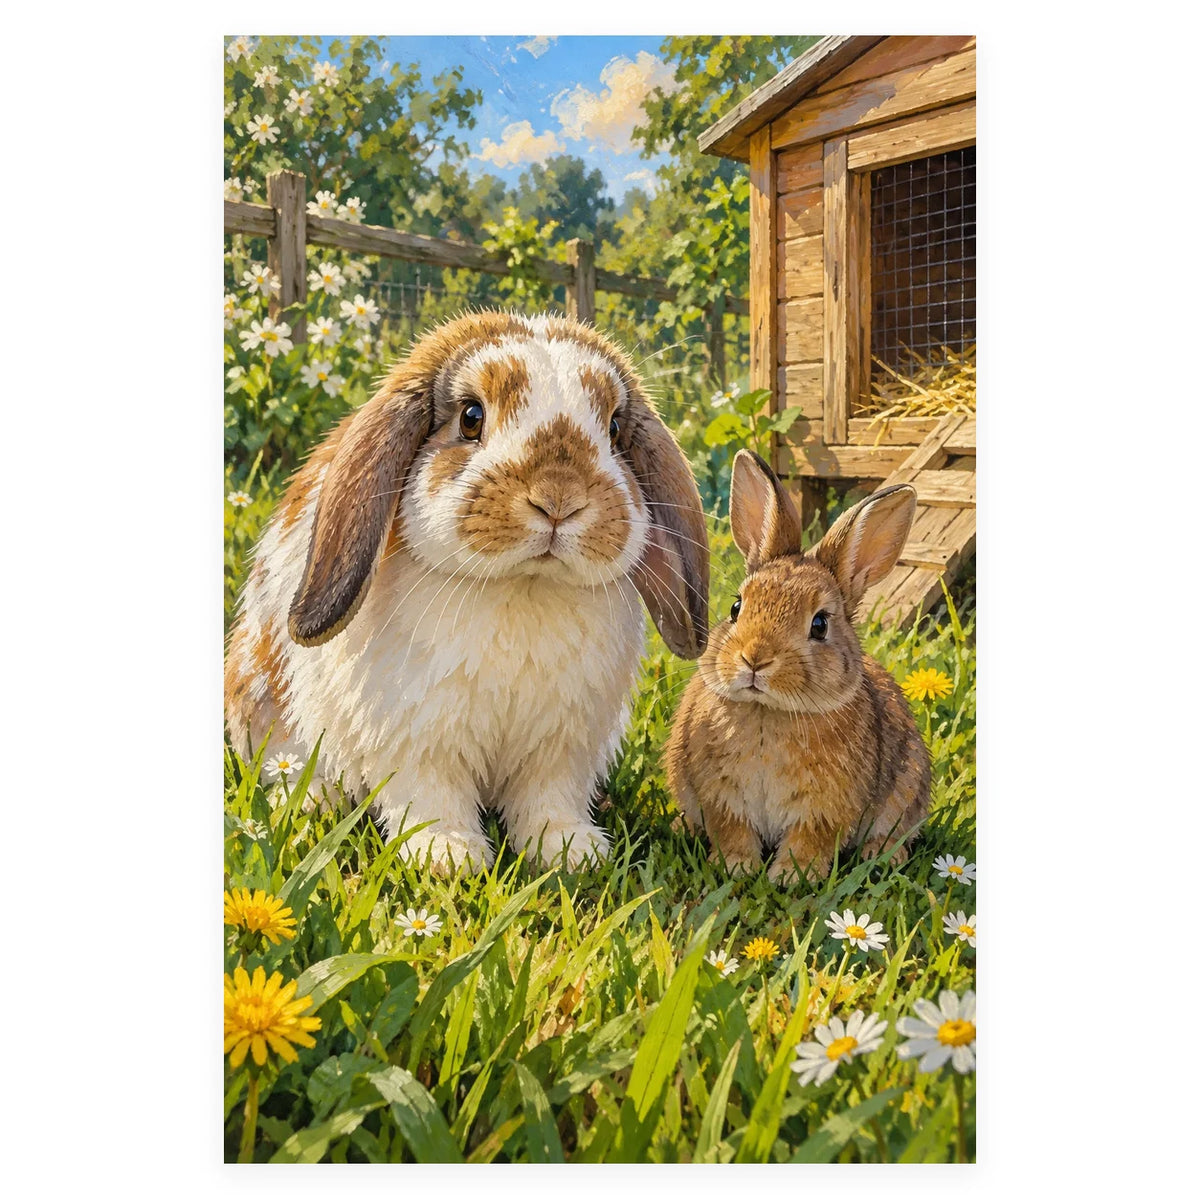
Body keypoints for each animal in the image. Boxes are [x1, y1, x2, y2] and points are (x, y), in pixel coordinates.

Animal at [225, 310, 709, 873]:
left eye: (613, 427)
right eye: (471, 417)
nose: (559, 498)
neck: (524, 587)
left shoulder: (558, 750)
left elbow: (548, 799)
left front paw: (569, 850)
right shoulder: (418, 739)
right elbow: (431, 797)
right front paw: (448, 855)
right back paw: (313, 800)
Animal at [664, 449, 930, 882]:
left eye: (819, 625)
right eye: (736, 607)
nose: (755, 659)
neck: (767, 711)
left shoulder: (824, 810)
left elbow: (810, 841)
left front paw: (790, 876)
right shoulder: (723, 799)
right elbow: (733, 833)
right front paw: (737, 868)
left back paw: (882, 855)